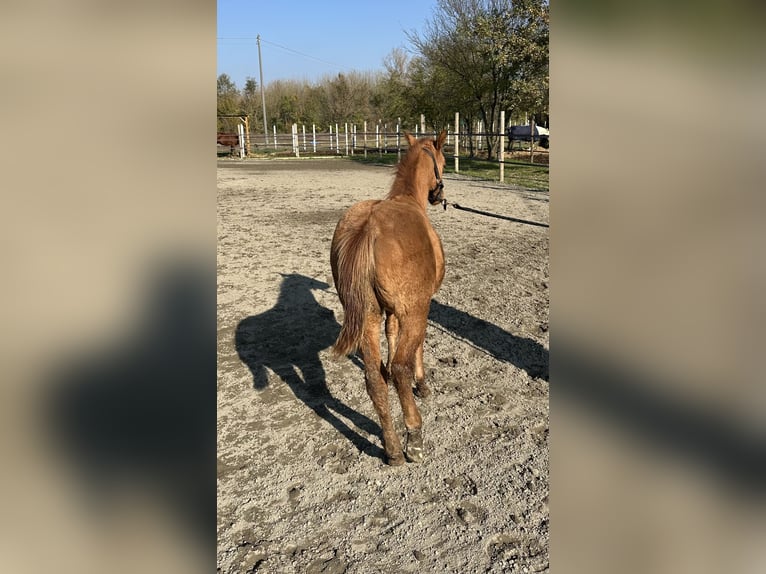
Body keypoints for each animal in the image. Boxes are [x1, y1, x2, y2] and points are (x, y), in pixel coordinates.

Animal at [330, 130, 447, 466]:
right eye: (444, 160)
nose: (438, 196)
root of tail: (368, 228)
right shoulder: (418, 308)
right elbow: (413, 352)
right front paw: (423, 385)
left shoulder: (390, 312)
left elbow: (391, 338)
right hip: (414, 311)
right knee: (399, 369)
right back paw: (414, 438)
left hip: (367, 315)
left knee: (375, 378)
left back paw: (393, 449)